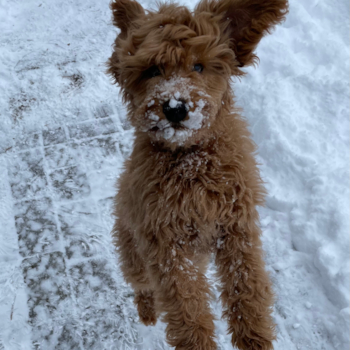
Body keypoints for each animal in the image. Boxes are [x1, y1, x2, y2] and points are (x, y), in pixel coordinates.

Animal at [106, 0, 288, 348]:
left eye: (199, 67)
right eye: (152, 70)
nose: (175, 107)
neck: (191, 161)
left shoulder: (236, 226)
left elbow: (247, 282)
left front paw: (254, 336)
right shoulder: (165, 242)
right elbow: (185, 304)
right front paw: (198, 342)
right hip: (133, 251)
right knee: (142, 285)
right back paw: (147, 310)